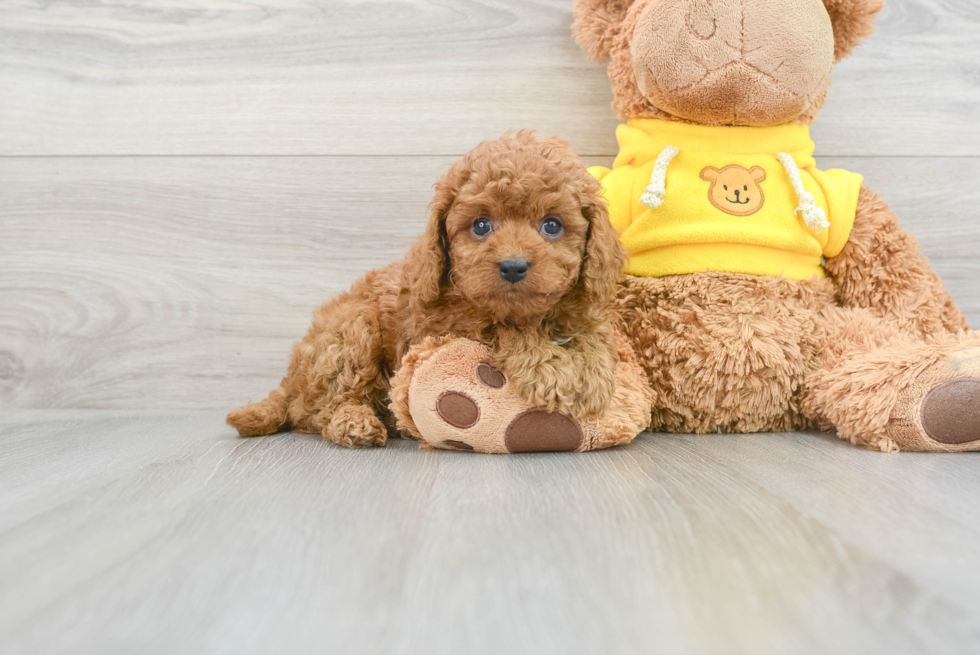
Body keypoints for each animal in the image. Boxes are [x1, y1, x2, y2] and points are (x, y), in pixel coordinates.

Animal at [226, 133, 624, 452]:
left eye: (552, 225)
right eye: (481, 225)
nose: (513, 266)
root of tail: (290, 381)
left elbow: (593, 334)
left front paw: (592, 372)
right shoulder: (448, 322)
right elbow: (505, 329)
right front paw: (551, 368)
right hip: (352, 331)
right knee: (319, 409)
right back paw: (355, 423)